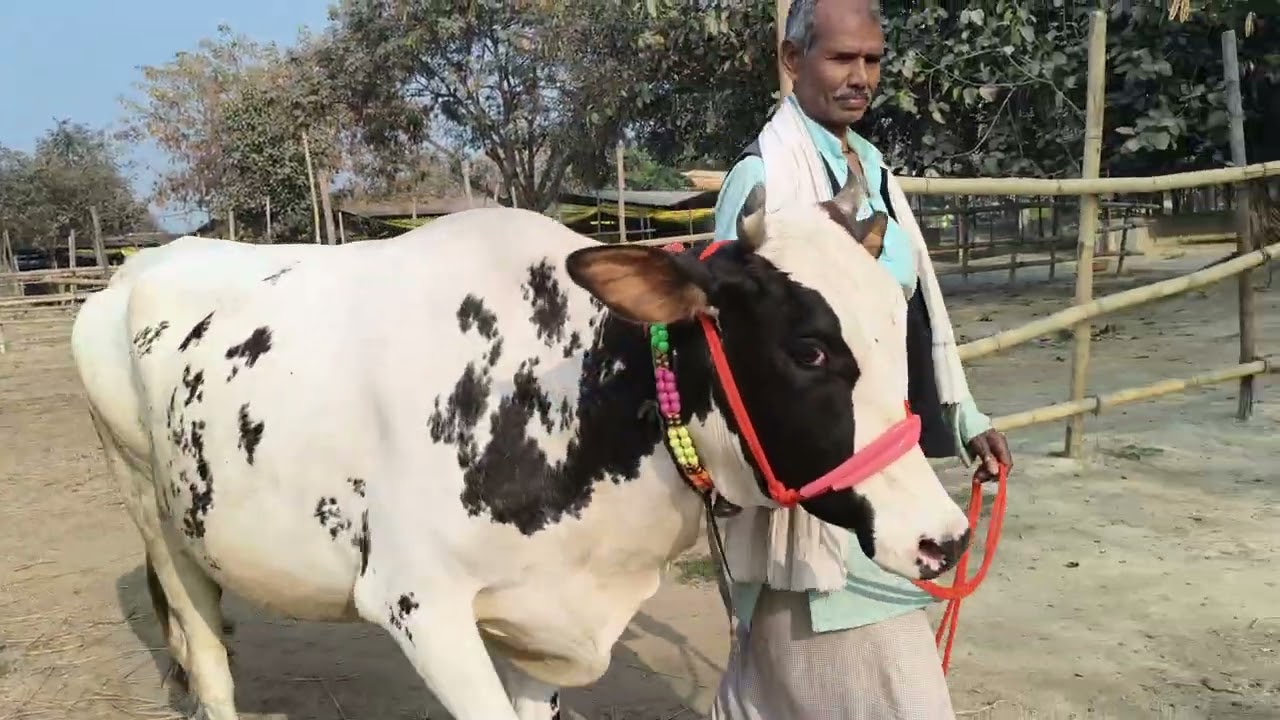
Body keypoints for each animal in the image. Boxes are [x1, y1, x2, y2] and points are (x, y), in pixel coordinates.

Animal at [69, 176, 972, 720]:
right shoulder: (418, 604)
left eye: (897, 325)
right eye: (808, 350)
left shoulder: (547, 622)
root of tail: (133, 269)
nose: (947, 537)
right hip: (153, 510)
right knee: (205, 654)